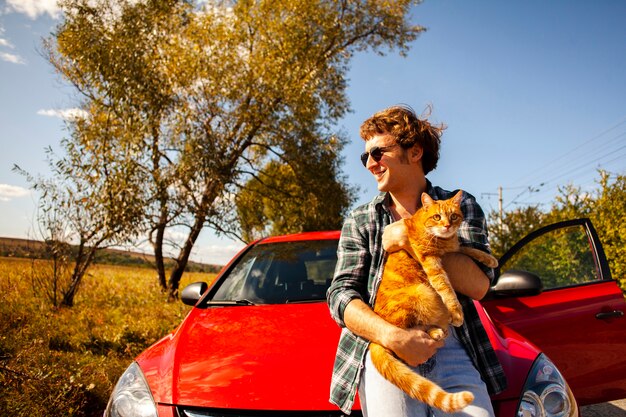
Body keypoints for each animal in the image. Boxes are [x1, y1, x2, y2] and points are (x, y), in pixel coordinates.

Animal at [368, 190, 494, 412]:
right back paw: (436, 331)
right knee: (408, 330)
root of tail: (376, 339)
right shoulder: (432, 263)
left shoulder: (454, 249)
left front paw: (489, 258)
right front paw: (457, 313)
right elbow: (447, 289)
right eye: (437, 217)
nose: (447, 226)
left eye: (454, 216)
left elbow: (468, 249)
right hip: (422, 292)